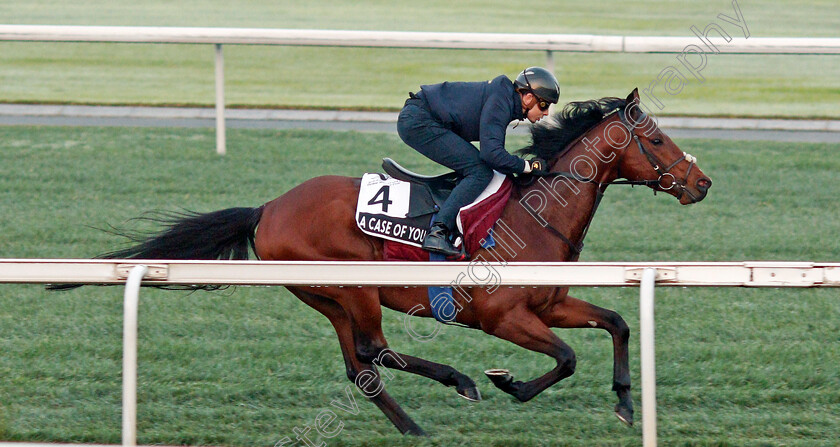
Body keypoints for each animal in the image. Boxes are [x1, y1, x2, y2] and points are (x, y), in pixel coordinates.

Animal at [57, 89, 708, 436]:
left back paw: (414, 425)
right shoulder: (502, 317)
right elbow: (567, 357)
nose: (701, 183)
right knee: (373, 351)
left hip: (329, 298)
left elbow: (618, 323)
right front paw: (510, 383)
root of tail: (269, 208)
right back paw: (459, 382)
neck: (534, 214)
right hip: (353, 286)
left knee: (362, 366)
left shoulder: (553, 302)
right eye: (655, 139)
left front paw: (625, 402)